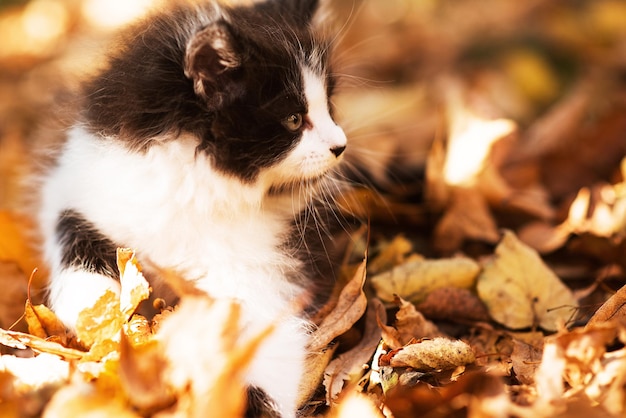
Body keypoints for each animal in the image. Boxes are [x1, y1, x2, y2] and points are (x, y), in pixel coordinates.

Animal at [37, 1, 348, 416]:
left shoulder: (260, 270)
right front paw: (95, 306)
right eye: (294, 120)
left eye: (329, 106)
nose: (341, 145)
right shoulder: (82, 184)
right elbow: (71, 226)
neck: (199, 185)